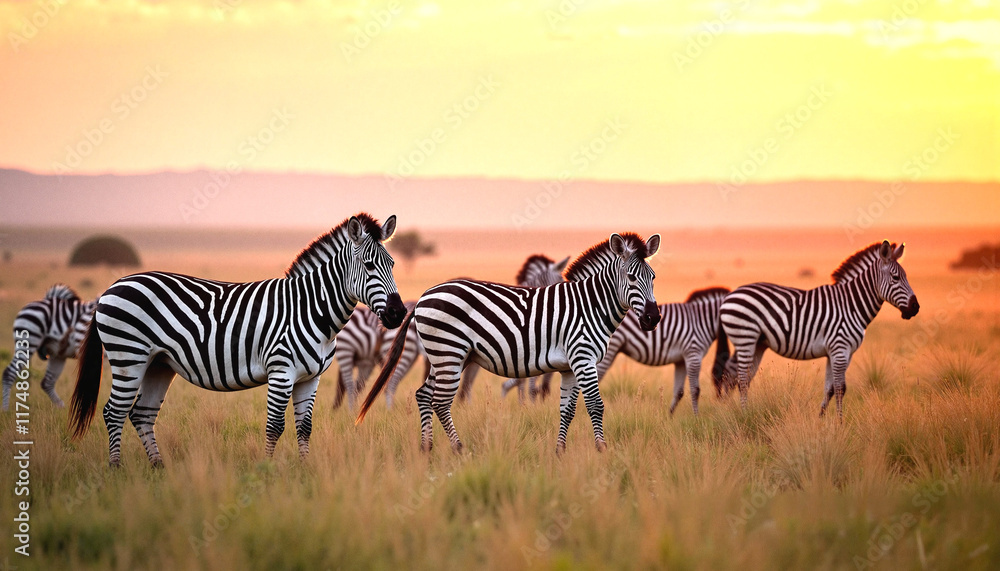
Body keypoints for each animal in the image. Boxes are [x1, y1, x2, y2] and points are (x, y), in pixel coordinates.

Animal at [68, 214, 407, 467]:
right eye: (368, 266)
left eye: (392, 265)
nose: (398, 313)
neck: (310, 308)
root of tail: (113, 284)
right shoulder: (281, 372)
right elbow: (275, 426)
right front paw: (267, 472)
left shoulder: (310, 378)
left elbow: (305, 427)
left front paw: (303, 471)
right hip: (129, 355)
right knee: (114, 412)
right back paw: (116, 470)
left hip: (159, 364)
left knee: (142, 414)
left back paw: (158, 468)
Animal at [719, 240, 919, 420]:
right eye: (895, 278)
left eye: (907, 276)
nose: (915, 308)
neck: (851, 305)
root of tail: (729, 296)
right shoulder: (840, 349)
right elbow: (840, 388)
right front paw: (839, 424)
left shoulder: (840, 353)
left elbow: (830, 389)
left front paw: (821, 420)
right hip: (745, 338)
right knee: (740, 380)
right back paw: (743, 416)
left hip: (758, 343)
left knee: (741, 377)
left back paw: (739, 412)